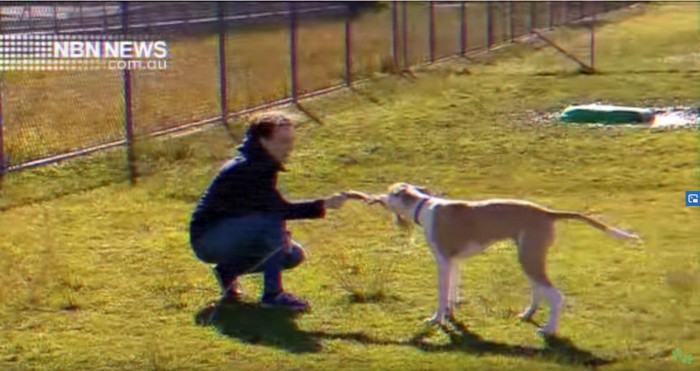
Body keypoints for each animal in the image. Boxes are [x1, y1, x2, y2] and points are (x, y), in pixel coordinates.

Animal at [344, 184, 640, 338]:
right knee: (539, 290)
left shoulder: (442, 262)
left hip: (529, 257)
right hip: (529, 256)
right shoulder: (455, 263)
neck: (423, 206)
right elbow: (452, 293)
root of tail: (546, 212)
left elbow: (441, 295)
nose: (375, 198)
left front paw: (437, 318)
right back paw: (528, 314)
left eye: (389, 192)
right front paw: (451, 313)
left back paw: (548, 329)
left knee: (555, 296)